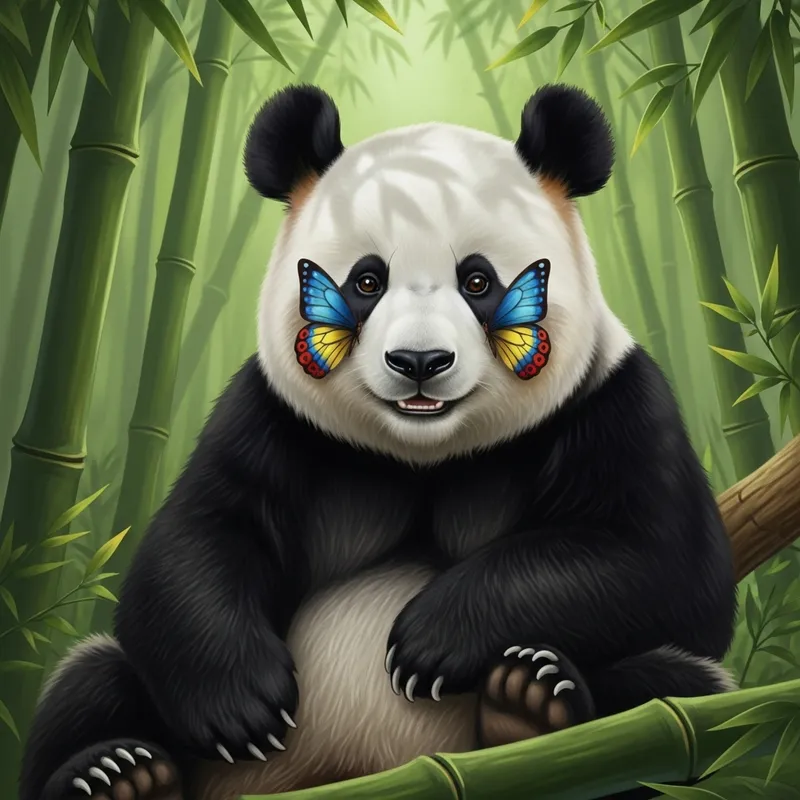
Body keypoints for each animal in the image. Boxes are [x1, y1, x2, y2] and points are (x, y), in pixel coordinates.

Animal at [21, 83, 737, 800]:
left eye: (478, 280)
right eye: (366, 281)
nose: (420, 360)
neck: (424, 454)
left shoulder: (615, 403)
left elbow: (661, 566)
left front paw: (433, 640)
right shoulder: (269, 415)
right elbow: (198, 539)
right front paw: (242, 703)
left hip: (666, 724)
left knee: (678, 690)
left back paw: (530, 701)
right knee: (89, 682)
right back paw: (119, 772)